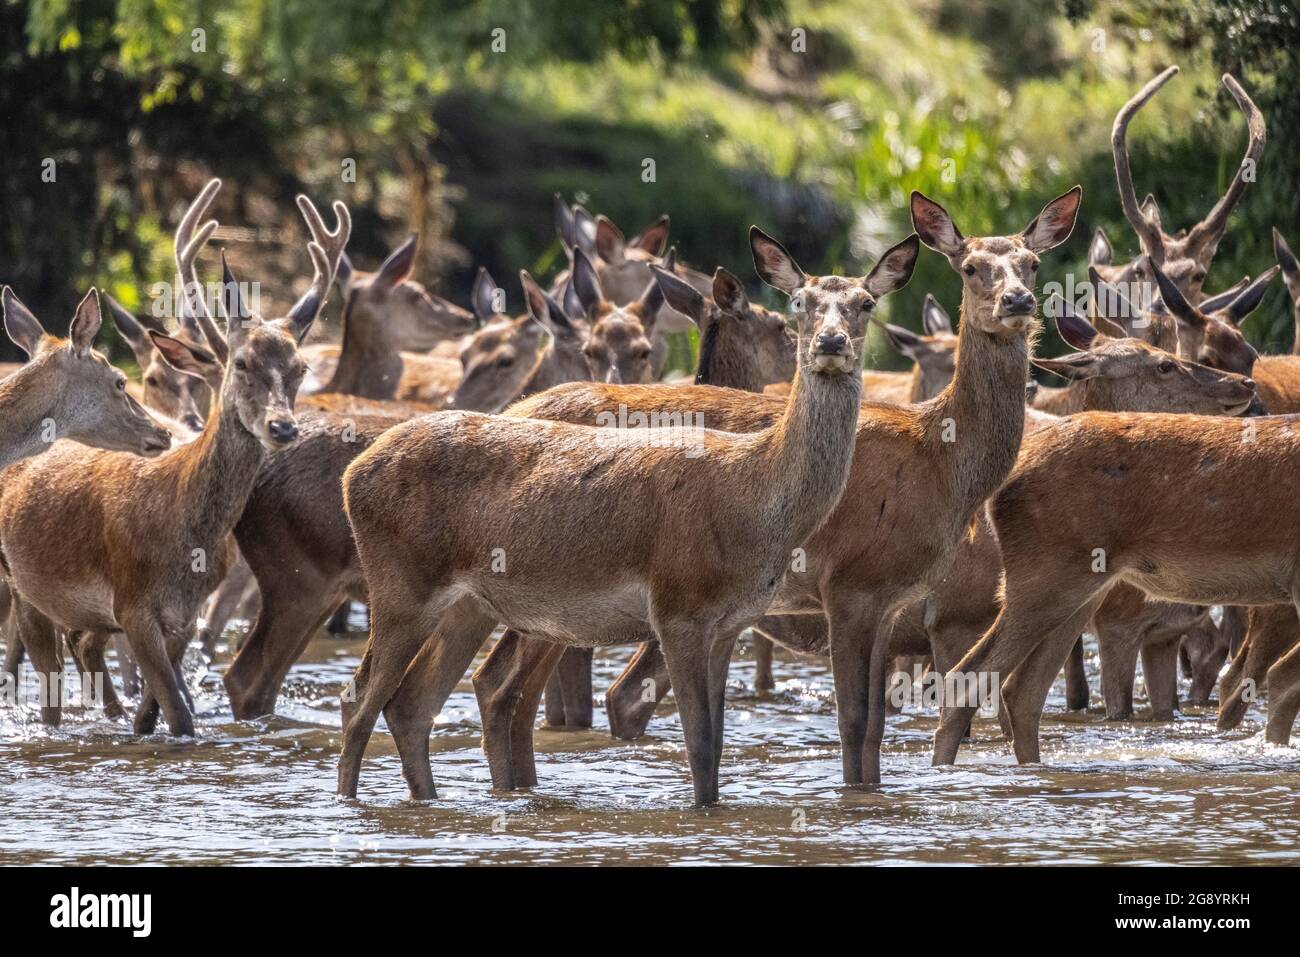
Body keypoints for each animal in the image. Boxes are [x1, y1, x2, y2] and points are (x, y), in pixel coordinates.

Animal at [0, 179, 348, 733]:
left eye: (300, 368)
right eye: (241, 363)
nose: (283, 426)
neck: (181, 526)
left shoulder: (182, 617)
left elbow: (159, 712)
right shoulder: (133, 605)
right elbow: (179, 715)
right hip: (24, 587)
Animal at [335, 222, 920, 800]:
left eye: (866, 303)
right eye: (798, 304)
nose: (831, 342)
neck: (757, 501)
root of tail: (354, 472)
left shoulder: (730, 622)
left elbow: (717, 746)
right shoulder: (678, 607)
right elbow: (699, 746)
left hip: (468, 605)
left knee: (410, 704)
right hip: (400, 584)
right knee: (359, 698)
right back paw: (349, 801)